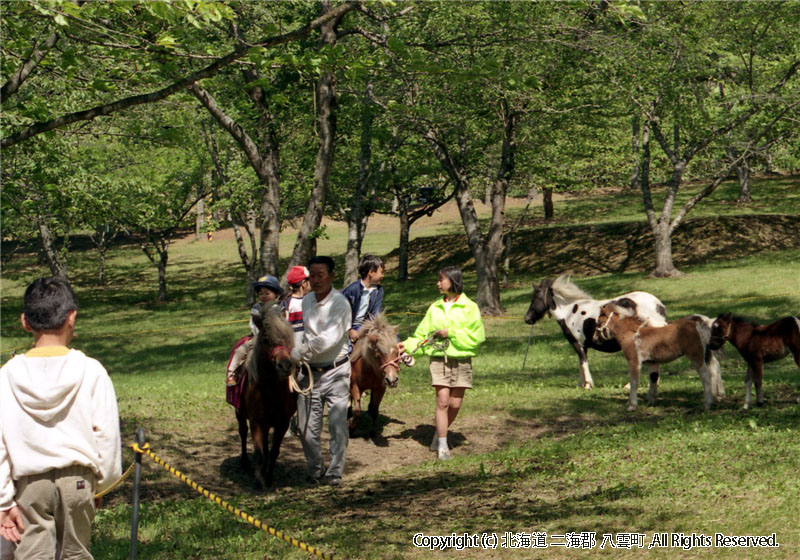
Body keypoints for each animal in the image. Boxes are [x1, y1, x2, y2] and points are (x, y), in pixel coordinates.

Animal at [239, 300, 302, 488]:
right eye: (265, 340)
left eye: (288, 339)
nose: (285, 365)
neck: (270, 390)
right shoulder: (256, 421)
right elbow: (259, 452)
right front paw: (259, 481)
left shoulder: (282, 423)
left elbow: (273, 451)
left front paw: (268, 477)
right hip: (240, 413)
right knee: (242, 432)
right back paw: (244, 462)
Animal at [524, 276, 668, 390]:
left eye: (535, 297)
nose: (527, 318)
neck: (570, 312)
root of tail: (657, 305)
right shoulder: (584, 345)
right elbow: (582, 362)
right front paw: (581, 384)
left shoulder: (577, 343)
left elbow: (583, 362)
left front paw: (588, 384)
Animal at [592, 302, 724, 412]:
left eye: (599, 321)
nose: (595, 339)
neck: (633, 334)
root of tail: (700, 325)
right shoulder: (653, 362)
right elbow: (653, 378)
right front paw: (648, 400)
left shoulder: (634, 361)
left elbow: (634, 382)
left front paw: (632, 406)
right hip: (706, 355)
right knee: (713, 370)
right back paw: (716, 398)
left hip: (696, 356)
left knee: (706, 375)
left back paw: (707, 404)